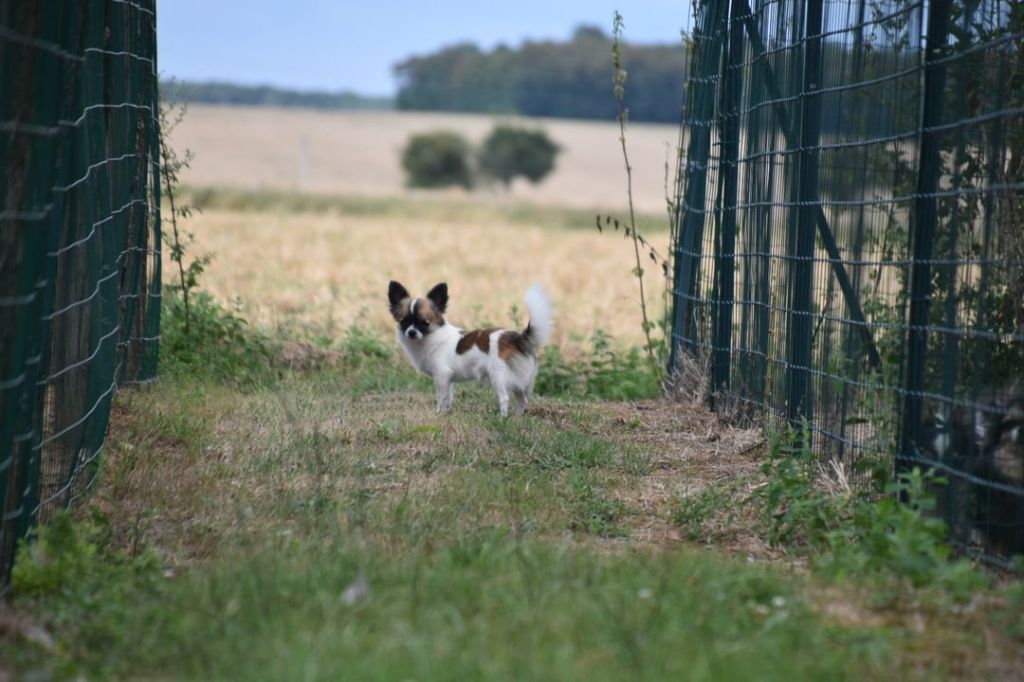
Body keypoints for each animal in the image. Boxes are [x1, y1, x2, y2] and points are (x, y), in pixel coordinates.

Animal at [387, 280, 552, 413]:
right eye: (404, 321)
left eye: (424, 323)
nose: (411, 332)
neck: (429, 337)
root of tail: (516, 339)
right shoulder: (448, 379)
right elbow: (448, 398)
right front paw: (445, 414)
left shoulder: (441, 375)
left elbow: (440, 397)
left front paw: (438, 413)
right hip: (518, 380)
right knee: (523, 401)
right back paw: (517, 420)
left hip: (498, 375)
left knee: (505, 398)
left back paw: (502, 419)